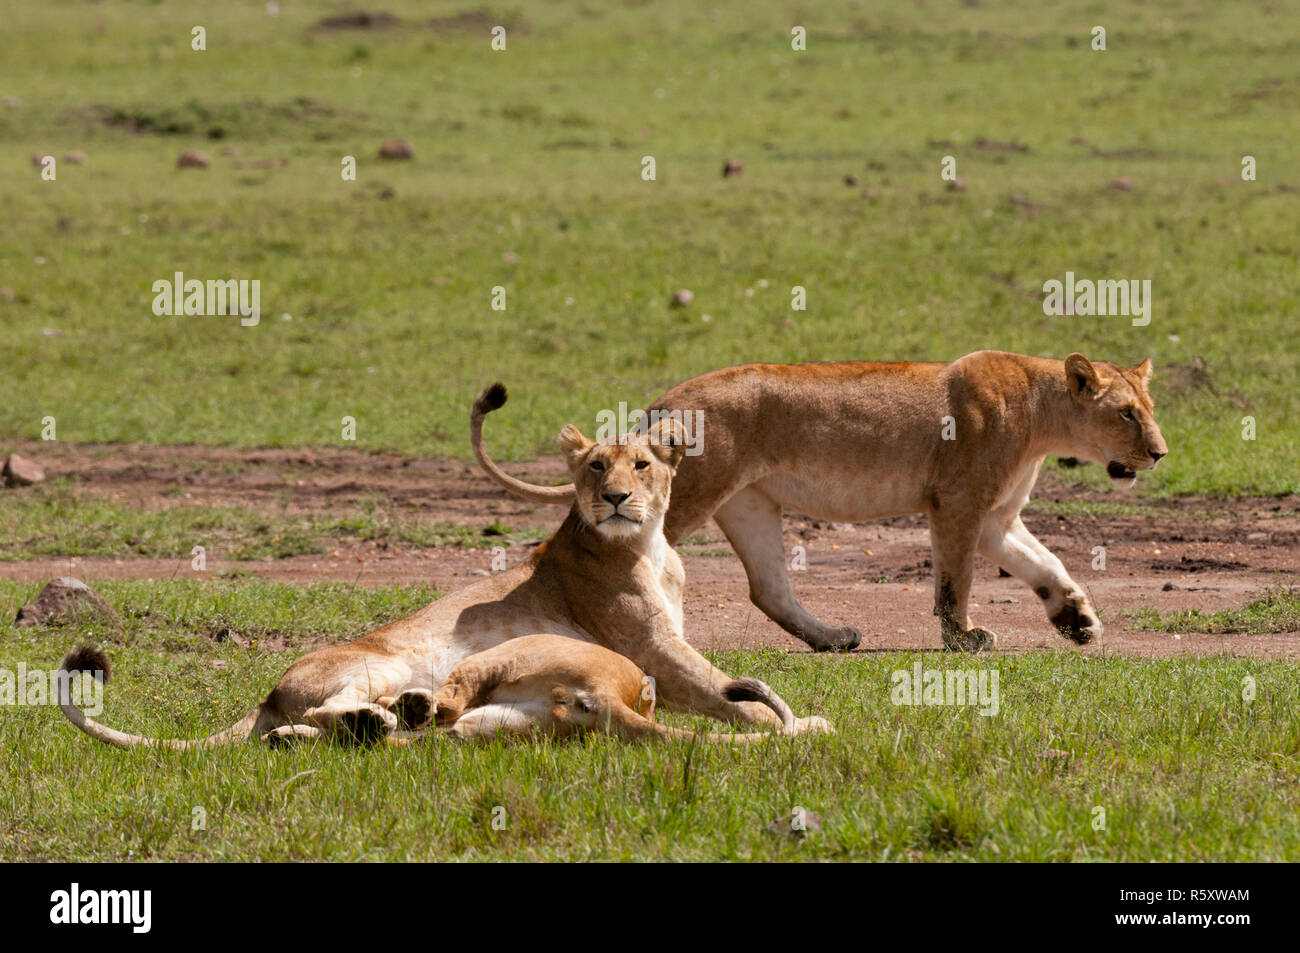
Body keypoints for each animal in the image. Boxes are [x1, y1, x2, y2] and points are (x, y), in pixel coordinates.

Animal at [58, 384, 830, 747]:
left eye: (641, 464)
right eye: (594, 466)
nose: (614, 497)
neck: (650, 545)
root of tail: (270, 693)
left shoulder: (660, 652)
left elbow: (720, 689)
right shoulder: (653, 648)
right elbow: (728, 691)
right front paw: (795, 726)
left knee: (307, 731)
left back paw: (336, 732)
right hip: (384, 662)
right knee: (350, 706)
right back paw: (381, 718)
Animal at [472, 351, 1168, 653]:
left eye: (1149, 408)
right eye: (1127, 414)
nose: (1160, 453)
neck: (1043, 417)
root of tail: (660, 406)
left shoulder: (996, 518)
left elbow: (1047, 565)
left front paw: (1077, 620)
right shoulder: (959, 503)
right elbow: (955, 582)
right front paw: (963, 638)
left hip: (749, 505)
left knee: (769, 589)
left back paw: (832, 638)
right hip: (680, 498)